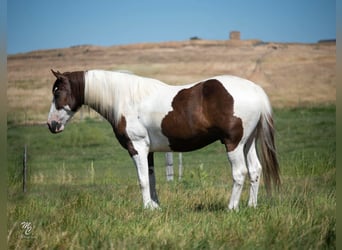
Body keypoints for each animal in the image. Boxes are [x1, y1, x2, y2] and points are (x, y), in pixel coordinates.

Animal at [46, 69, 280, 210]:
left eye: (57, 93)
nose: (51, 125)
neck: (126, 99)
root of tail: (255, 90)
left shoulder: (137, 147)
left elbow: (141, 180)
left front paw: (146, 209)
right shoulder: (147, 150)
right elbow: (151, 179)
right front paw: (155, 207)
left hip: (233, 143)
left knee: (240, 173)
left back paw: (231, 208)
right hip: (247, 143)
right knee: (255, 170)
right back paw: (251, 206)